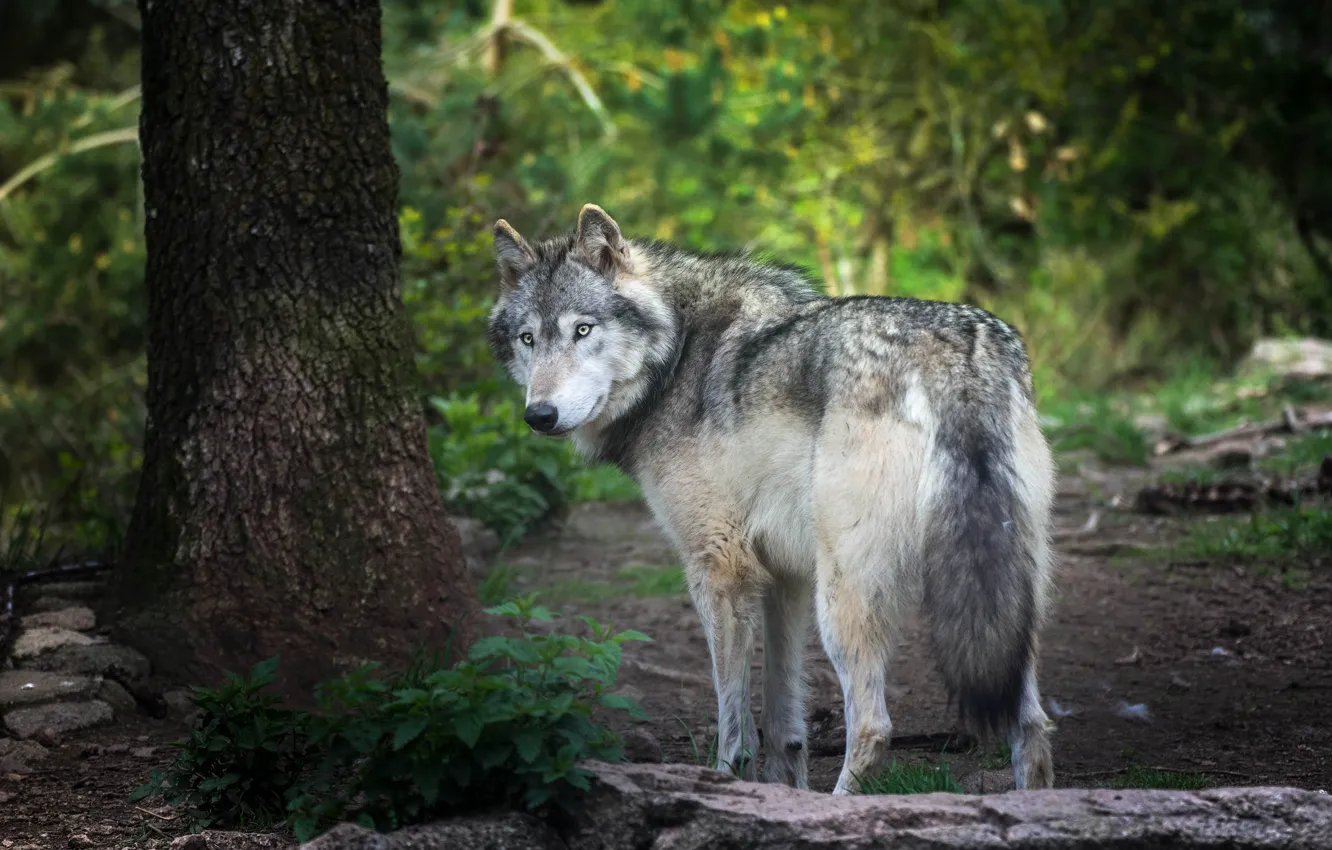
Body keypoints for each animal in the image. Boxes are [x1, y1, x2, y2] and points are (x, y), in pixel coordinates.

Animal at [484, 202, 1054, 794]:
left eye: (583, 330)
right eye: (528, 339)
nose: (539, 415)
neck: (676, 355)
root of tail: (958, 354)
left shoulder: (719, 569)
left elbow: (734, 726)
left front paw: (726, 783)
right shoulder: (785, 576)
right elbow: (784, 720)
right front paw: (786, 789)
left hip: (844, 598)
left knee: (873, 726)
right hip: (1008, 596)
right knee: (1031, 722)